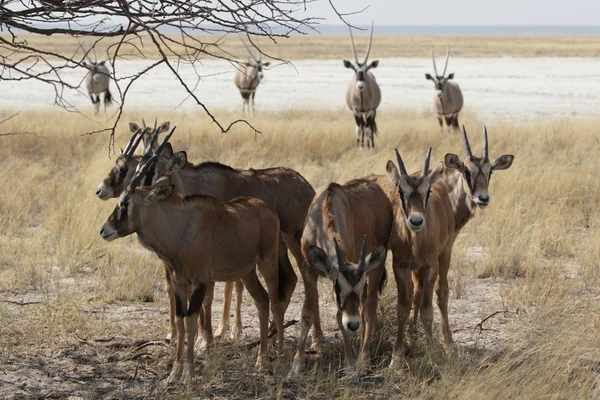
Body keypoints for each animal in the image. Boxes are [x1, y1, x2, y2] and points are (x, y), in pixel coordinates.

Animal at [288, 178, 392, 376]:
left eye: (359, 288)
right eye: (338, 289)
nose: (352, 324)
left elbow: (339, 317)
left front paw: (350, 365)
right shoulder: (308, 271)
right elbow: (307, 314)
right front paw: (296, 366)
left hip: (376, 266)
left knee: (369, 310)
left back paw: (364, 359)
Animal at [344, 20, 382, 148]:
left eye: (366, 69)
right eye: (354, 69)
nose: (360, 86)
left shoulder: (370, 110)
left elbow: (367, 129)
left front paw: (369, 147)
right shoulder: (356, 111)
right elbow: (359, 129)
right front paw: (360, 147)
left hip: (371, 111)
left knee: (369, 126)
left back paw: (371, 144)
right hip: (362, 112)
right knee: (362, 125)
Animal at [376, 147, 460, 368]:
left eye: (427, 191)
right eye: (400, 191)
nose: (415, 221)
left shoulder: (430, 267)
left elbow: (427, 309)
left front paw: (431, 352)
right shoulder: (401, 267)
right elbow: (403, 308)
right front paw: (397, 357)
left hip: (445, 254)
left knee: (441, 293)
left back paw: (448, 343)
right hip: (415, 268)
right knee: (416, 291)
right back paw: (412, 334)